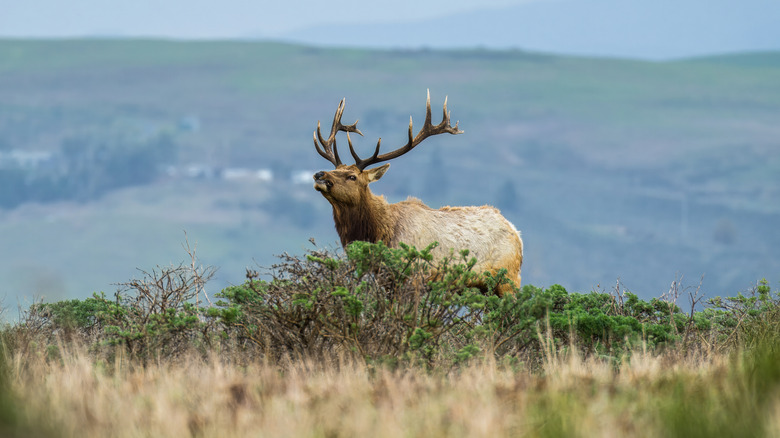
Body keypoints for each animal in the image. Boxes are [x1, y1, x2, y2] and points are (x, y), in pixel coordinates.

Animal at [312, 91, 523, 295]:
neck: (381, 233)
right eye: (336, 169)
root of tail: (516, 232)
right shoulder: (386, 280)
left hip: (509, 279)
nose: (319, 174)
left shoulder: (413, 276)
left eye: (352, 176)